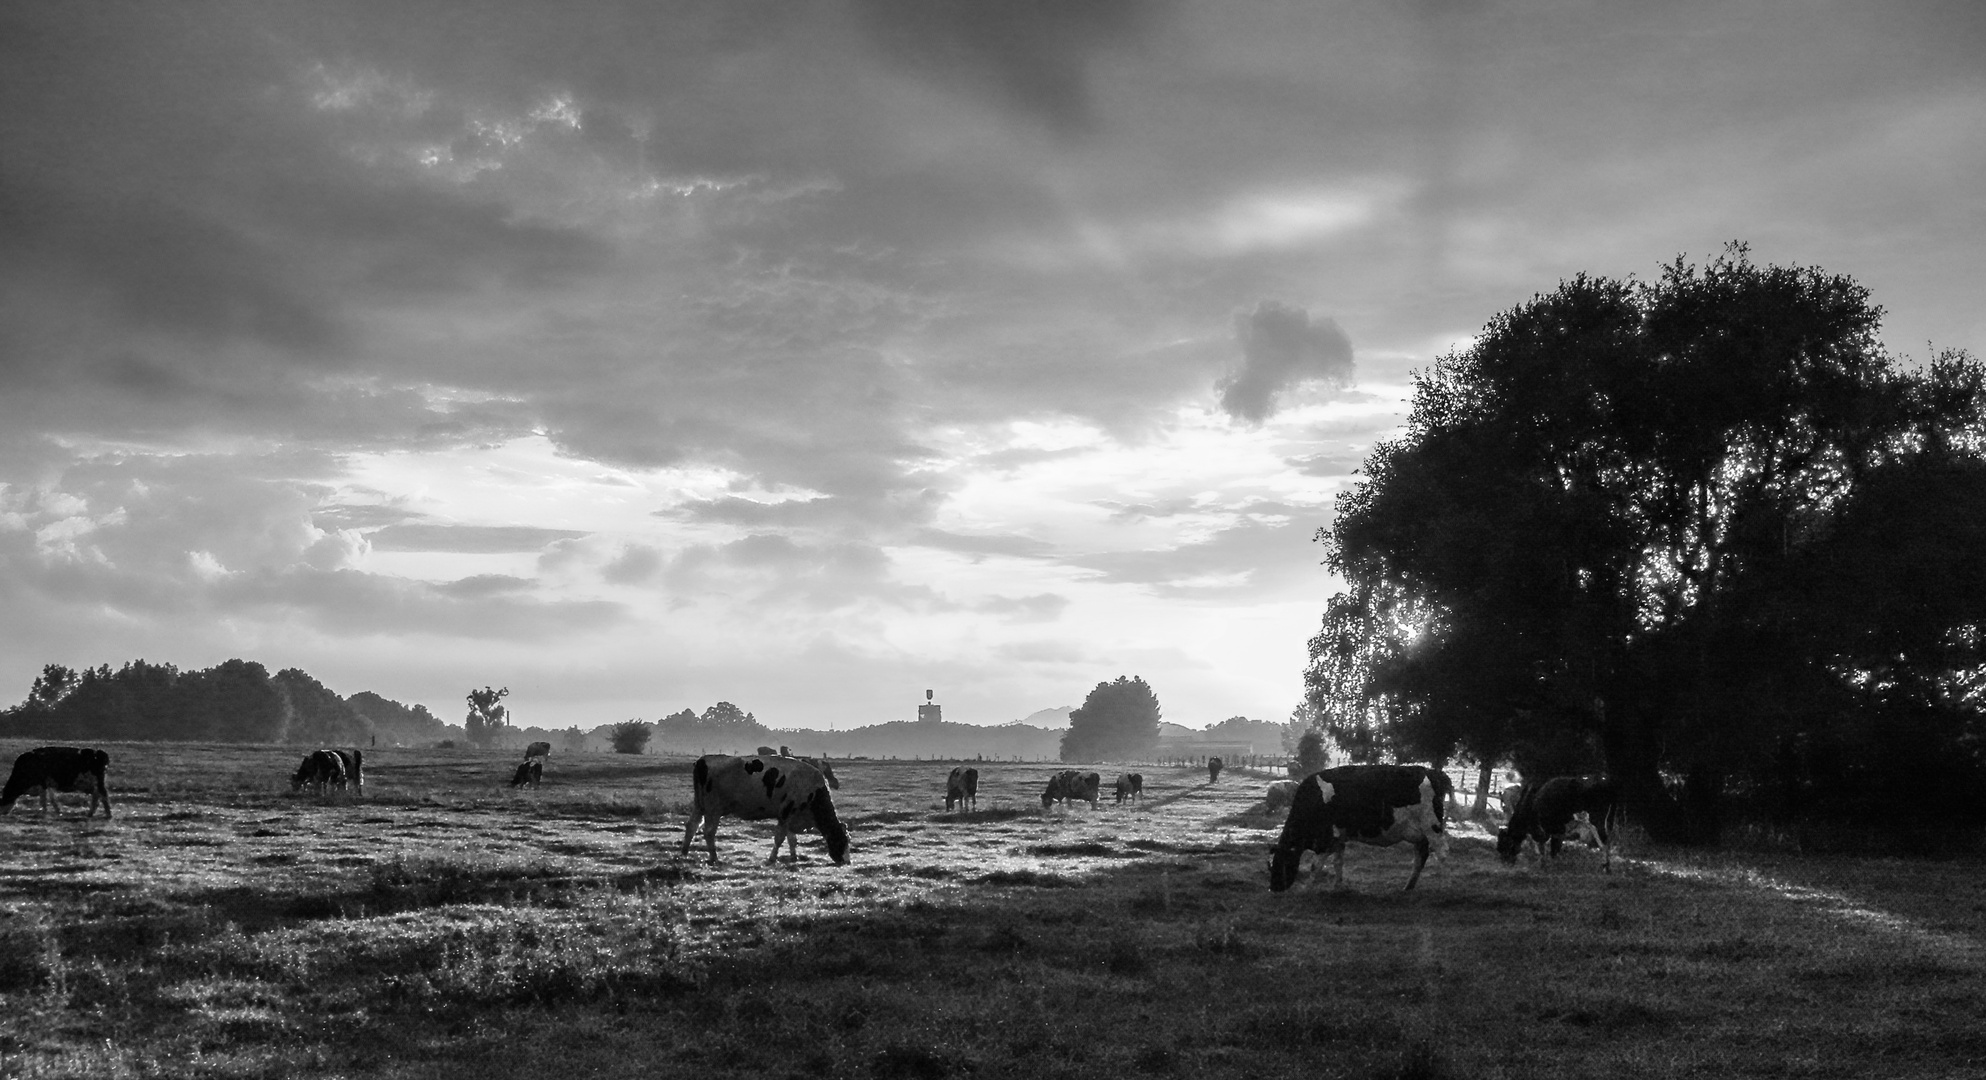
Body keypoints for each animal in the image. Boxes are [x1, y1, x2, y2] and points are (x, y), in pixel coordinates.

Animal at [683, 754, 846, 865]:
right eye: (841, 840)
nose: (847, 861)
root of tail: (702, 760)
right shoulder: (786, 813)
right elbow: (779, 838)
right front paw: (772, 858)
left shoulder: (790, 816)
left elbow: (792, 839)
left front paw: (794, 857)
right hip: (713, 809)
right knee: (709, 832)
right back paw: (714, 857)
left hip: (700, 806)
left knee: (692, 826)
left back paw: (684, 853)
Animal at [1271, 766, 1461, 893]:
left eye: (1279, 863)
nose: (1273, 888)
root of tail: (1434, 772)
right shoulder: (1339, 837)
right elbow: (1338, 862)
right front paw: (1338, 886)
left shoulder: (1325, 839)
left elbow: (1315, 866)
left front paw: (1306, 889)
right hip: (1420, 833)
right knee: (1420, 856)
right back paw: (1408, 887)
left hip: (1432, 827)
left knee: (1442, 853)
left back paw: (1448, 886)